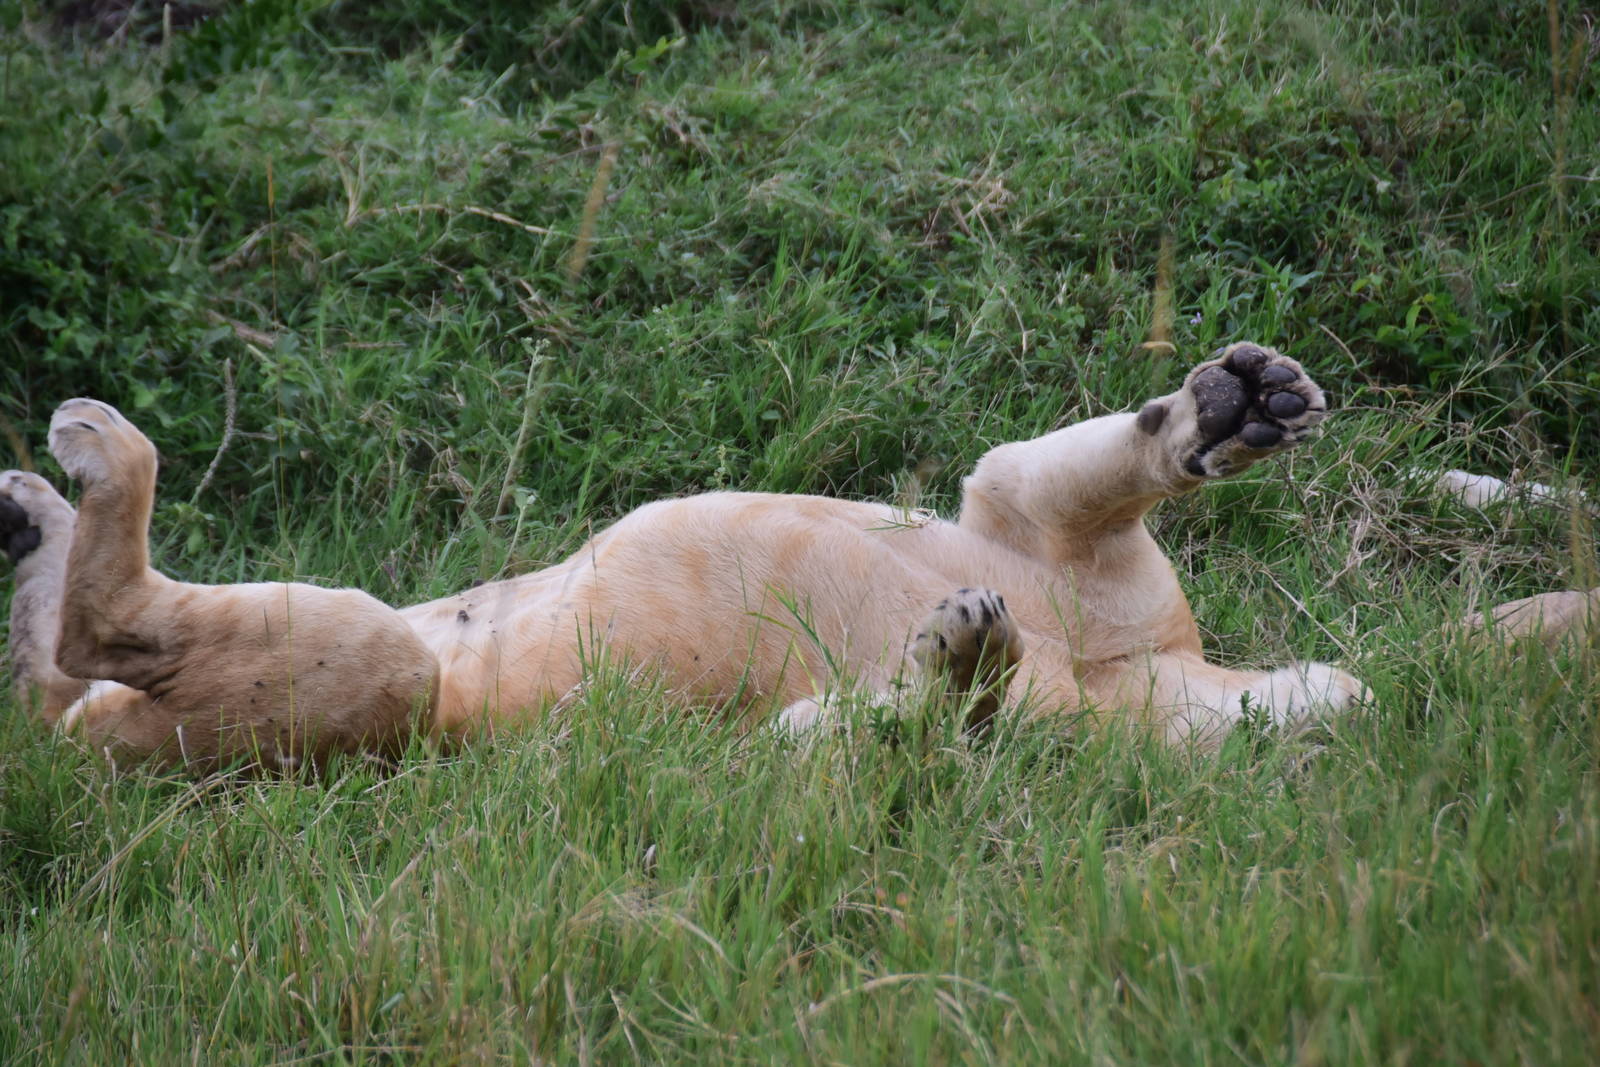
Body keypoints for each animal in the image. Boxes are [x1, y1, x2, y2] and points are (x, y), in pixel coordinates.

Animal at [1, 343, 1592, 769]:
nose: (1244, 397)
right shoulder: (1021, 517)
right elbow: (1081, 474)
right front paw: (1233, 407)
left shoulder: (793, 742)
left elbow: (883, 723)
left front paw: (960, 658)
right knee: (57, 659)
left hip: (371, 689)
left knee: (100, 638)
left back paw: (85, 470)